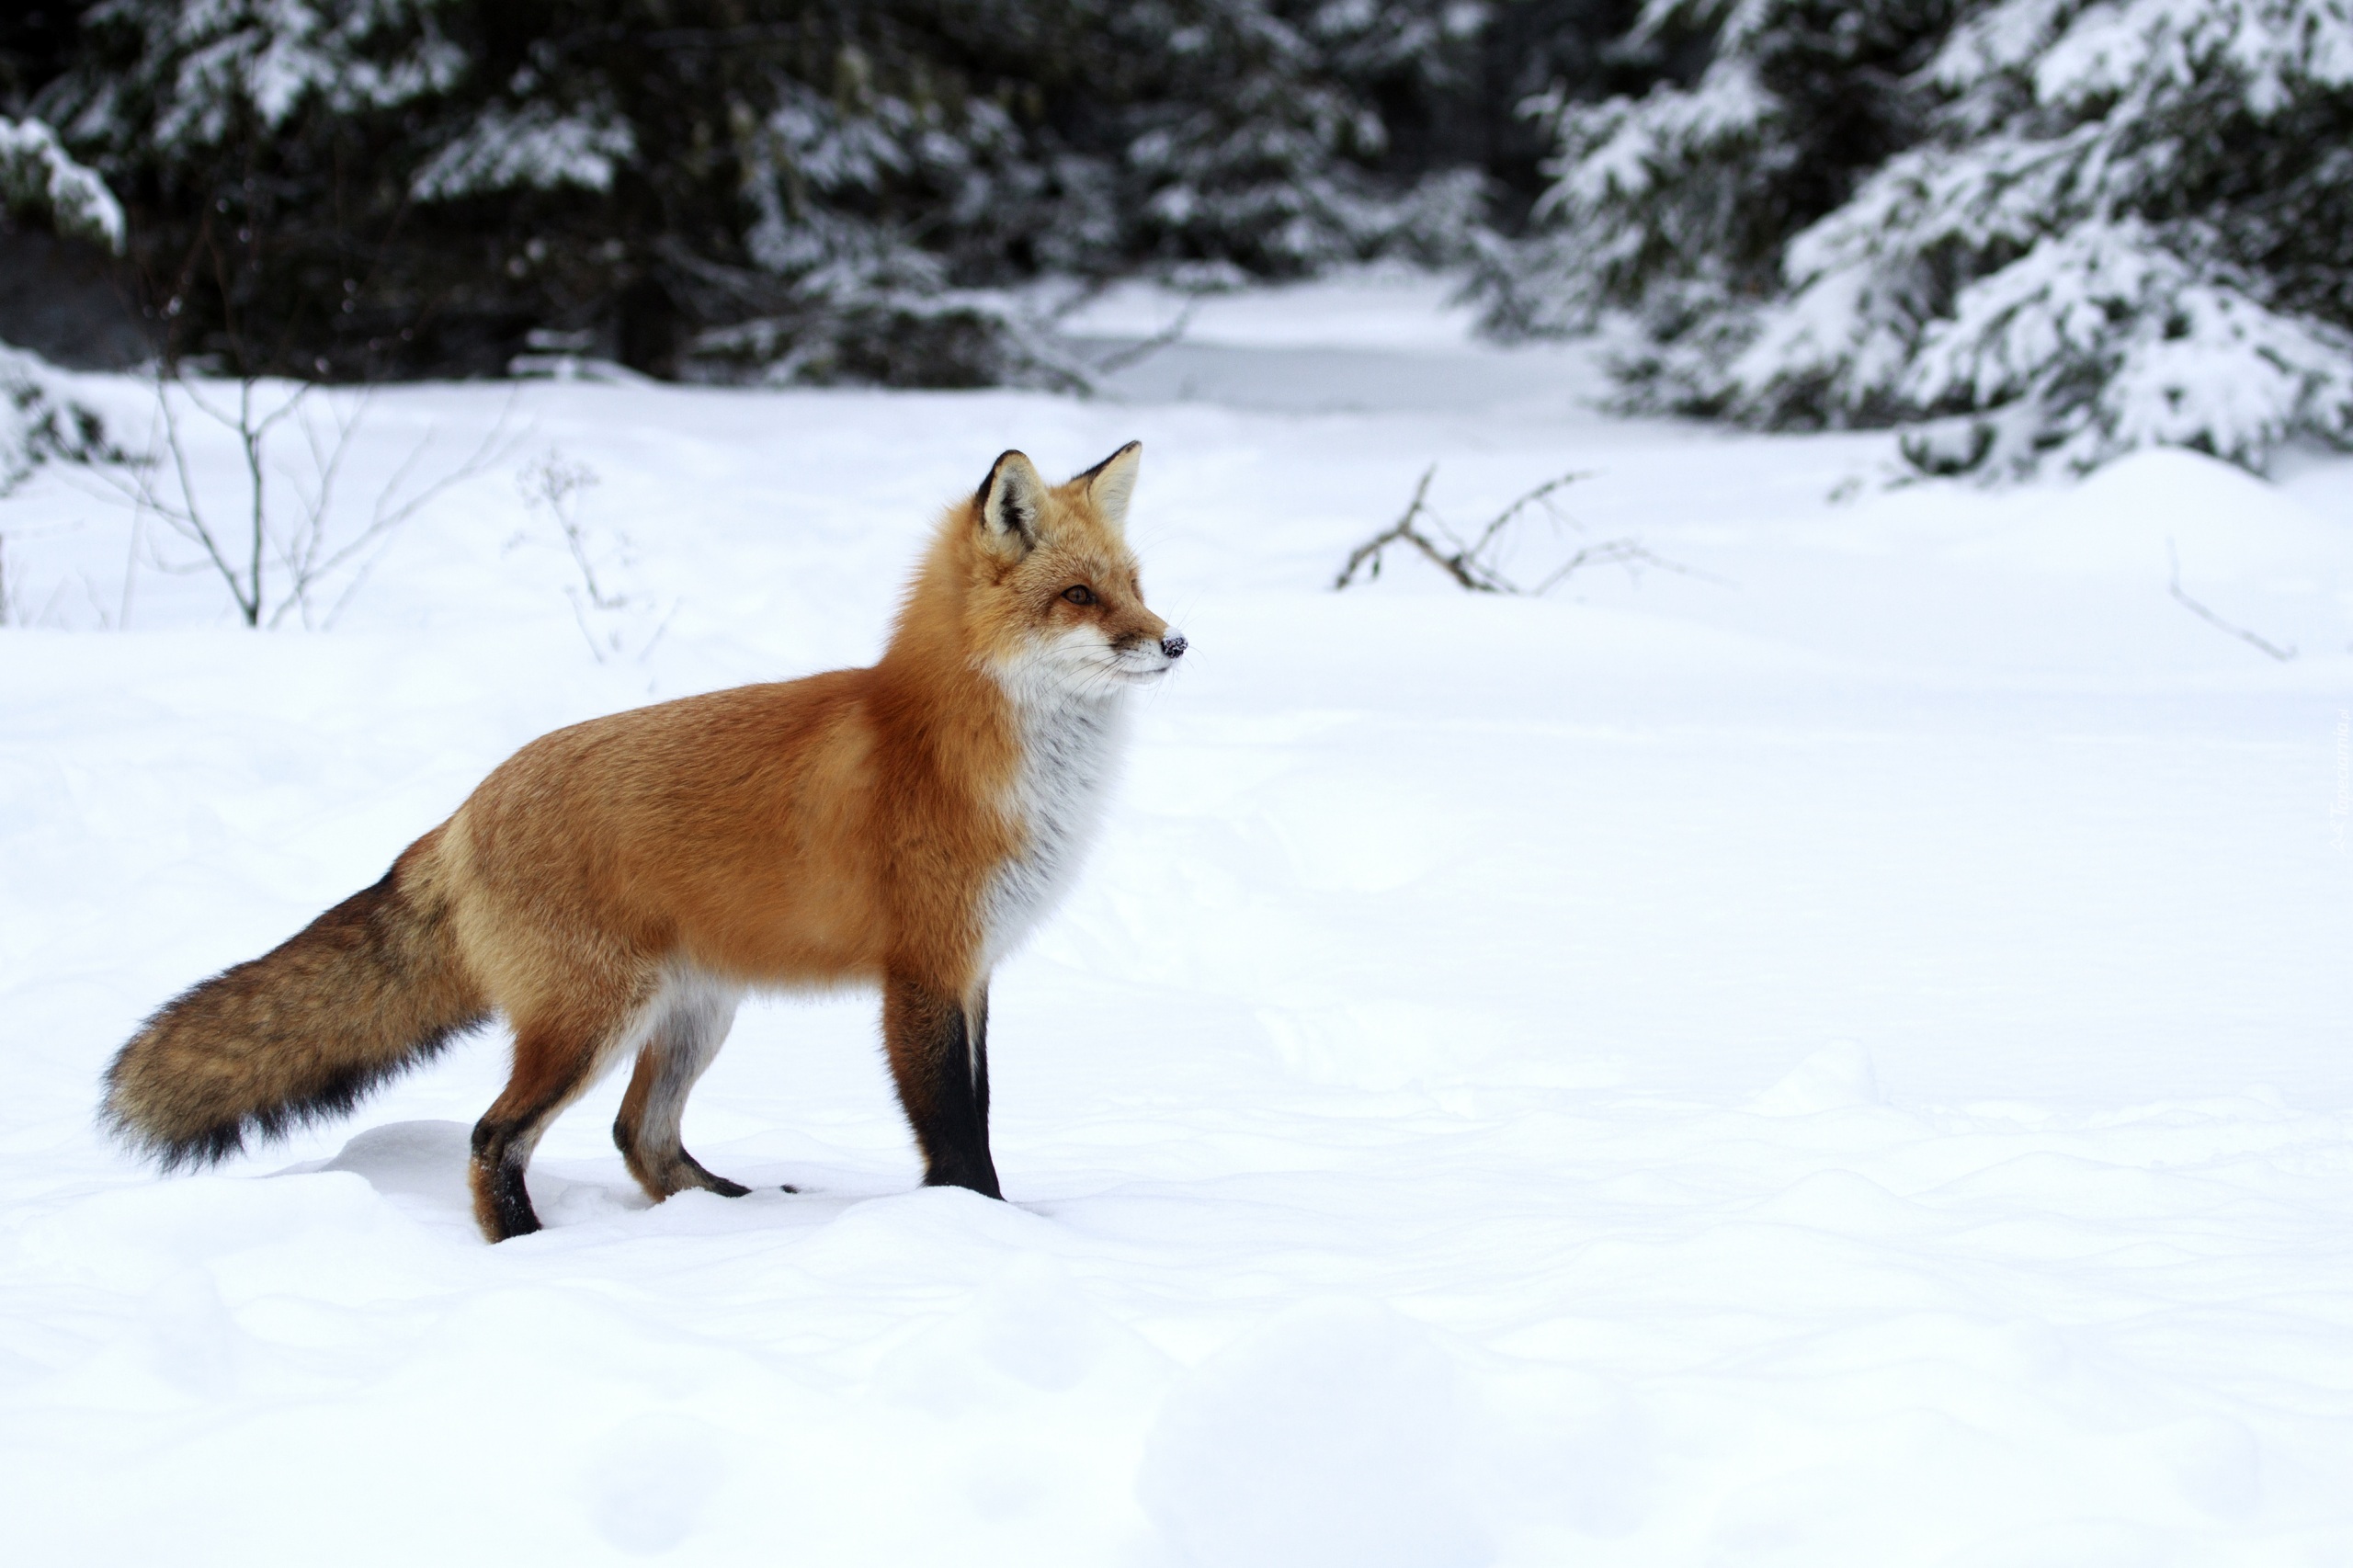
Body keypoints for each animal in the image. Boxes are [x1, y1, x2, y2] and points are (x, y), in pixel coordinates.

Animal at [103, 440, 1186, 1233]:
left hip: (694, 1013)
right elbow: (955, 1132)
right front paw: (986, 1234)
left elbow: (983, 1111)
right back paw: (528, 1246)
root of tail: (462, 813)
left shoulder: (975, 972)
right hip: (592, 1020)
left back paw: (725, 1220)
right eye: (1080, 597)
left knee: (640, 1136)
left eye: (1135, 584)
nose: (1175, 642)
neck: (961, 746)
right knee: (493, 1137)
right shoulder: (923, 968)